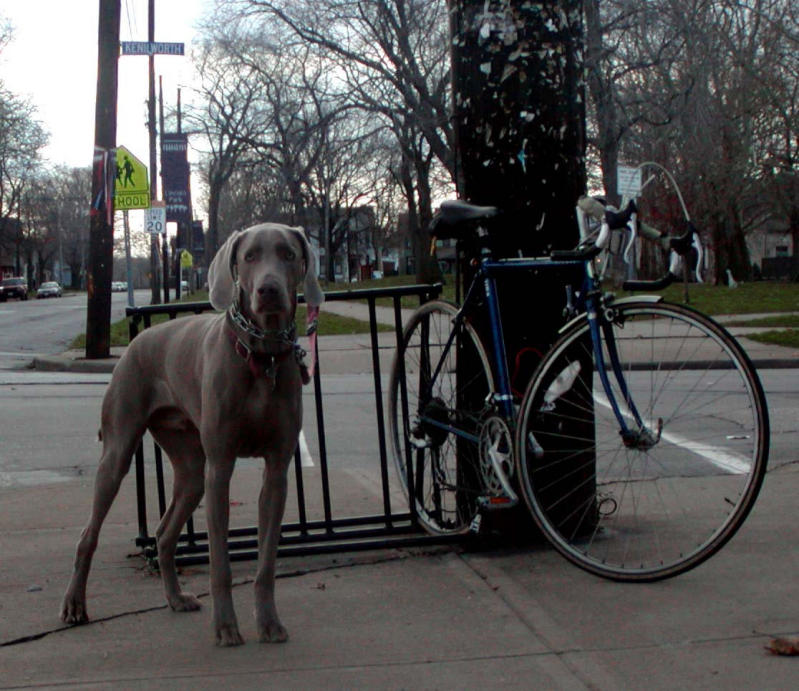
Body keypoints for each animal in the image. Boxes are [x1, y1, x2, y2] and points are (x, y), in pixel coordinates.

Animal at [61, 224, 324, 648]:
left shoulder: (277, 471)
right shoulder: (220, 467)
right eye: (250, 256)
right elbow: (220, 563)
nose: (268, 290)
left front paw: (269, 623)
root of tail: (133, 343)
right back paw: (74, 605)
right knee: (89, 533)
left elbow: (267, 560)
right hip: (119, 452)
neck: (261, 354)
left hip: (190, 467)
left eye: (288, 253)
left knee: (164, 533)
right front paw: (226, 627)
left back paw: (175, 598)